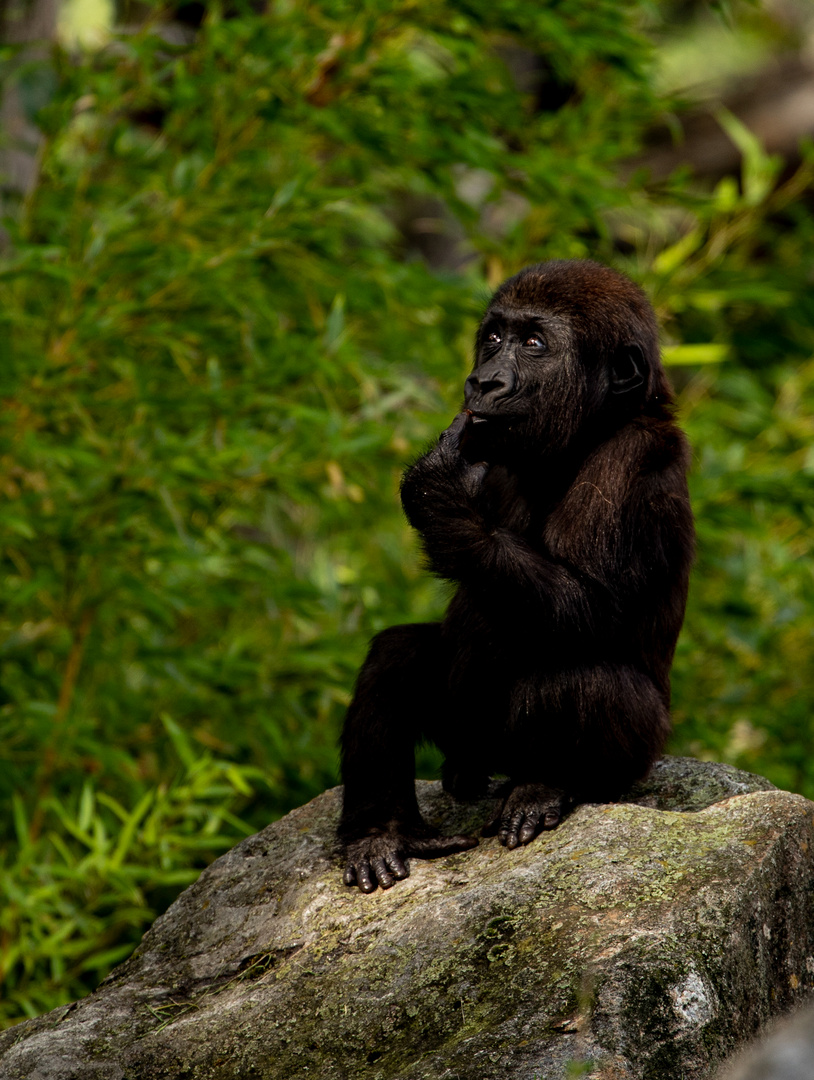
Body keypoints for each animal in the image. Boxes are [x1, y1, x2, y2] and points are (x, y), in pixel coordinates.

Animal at [336, 259, 690, 894]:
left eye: (534, 345)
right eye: (494, 337)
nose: (484, 383)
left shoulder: (632, 458)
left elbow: (585, 606)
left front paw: (436, 496)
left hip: (635, 759)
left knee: (582, 679)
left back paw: (545, 785)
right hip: (465, 742)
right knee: (396, 659)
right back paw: (382, 830)